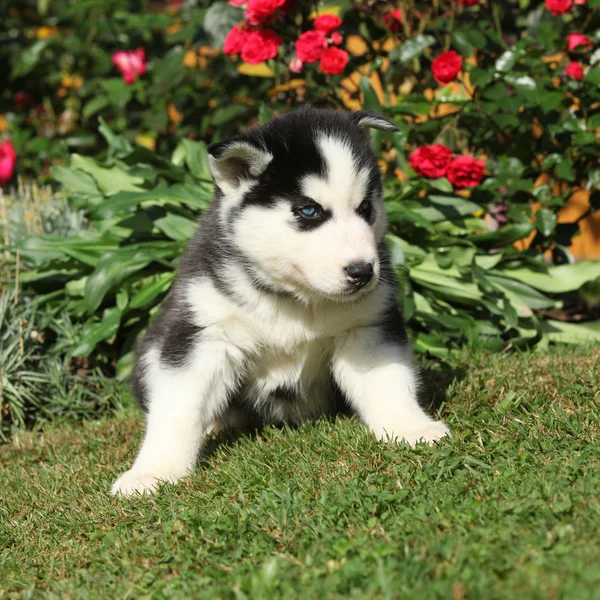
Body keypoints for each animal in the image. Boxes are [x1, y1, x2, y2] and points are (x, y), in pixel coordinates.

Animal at [111, 108, 450, 496]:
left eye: (365, 206)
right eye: (309, 211)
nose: (362, 272)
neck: (296, 300)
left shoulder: (365, 328)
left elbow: (388, 383)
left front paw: (411, 427)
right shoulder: (204, 334)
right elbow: (178, 408)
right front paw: (153, 471)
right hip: (155, 346)